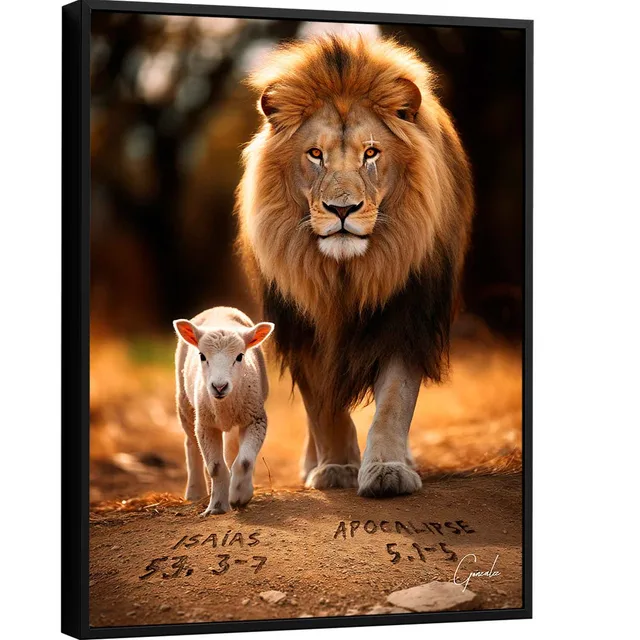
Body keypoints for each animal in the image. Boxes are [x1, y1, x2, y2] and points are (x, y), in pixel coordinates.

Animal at [235, 35, 473, 497]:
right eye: (315, 154)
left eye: (371, 153)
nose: (341, 209)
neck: (345, 275)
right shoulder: (304, 328)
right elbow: (322, 406)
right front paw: (336, 468)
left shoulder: (406, 318)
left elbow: (394, 402)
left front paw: (386, 471)